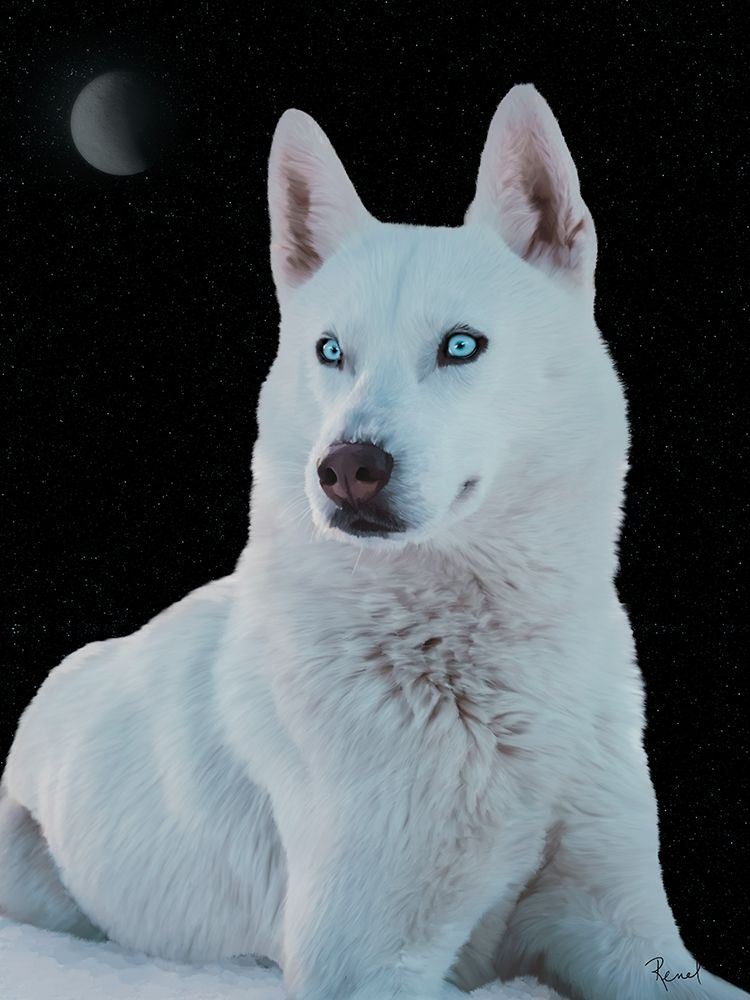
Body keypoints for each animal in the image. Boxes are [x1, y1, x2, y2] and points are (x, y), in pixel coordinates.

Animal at [1, 84, 746, 1000]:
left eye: (461, 345)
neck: (484, 666)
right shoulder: (364, 963)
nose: (346, 468)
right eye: (332, 351)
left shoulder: (622, 927)